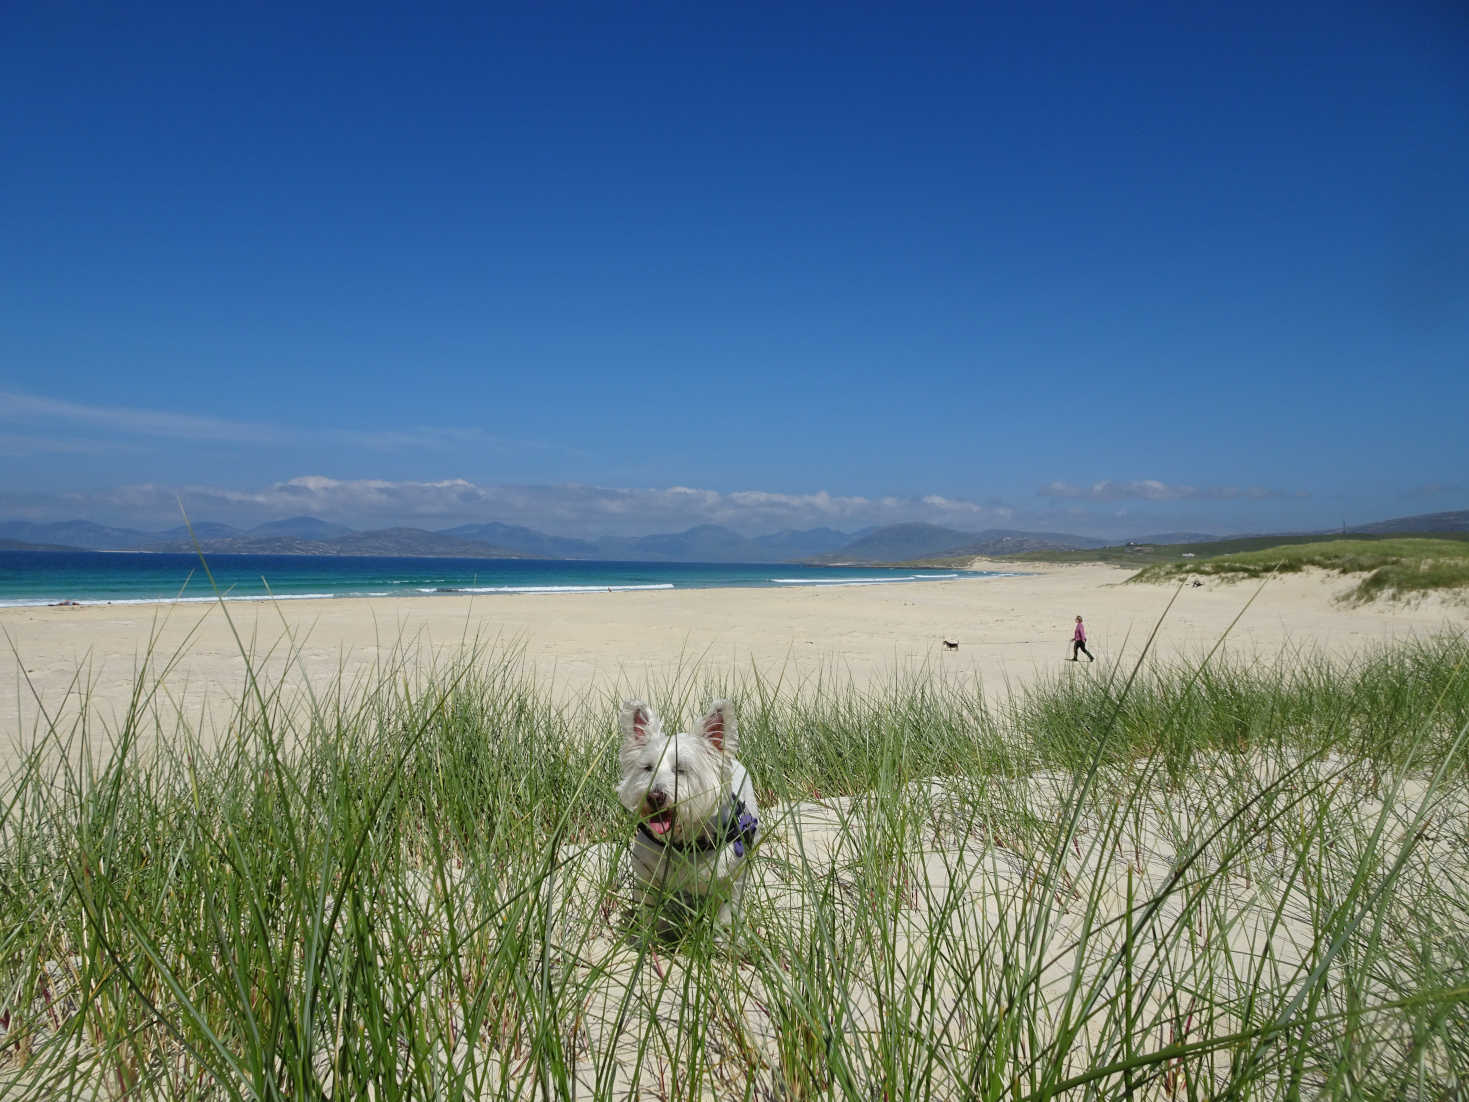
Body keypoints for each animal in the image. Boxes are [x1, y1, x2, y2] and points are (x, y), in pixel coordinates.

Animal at [616, 702, 763, 934]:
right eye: (647, 768)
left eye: (681, 770)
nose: (654, 796)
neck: (684, 843)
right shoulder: (648, 880)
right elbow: (650, 917)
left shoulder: (730, 881)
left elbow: (726, 917)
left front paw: (724, 938)